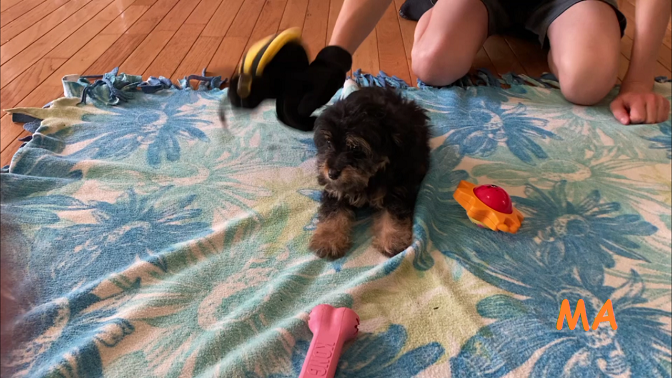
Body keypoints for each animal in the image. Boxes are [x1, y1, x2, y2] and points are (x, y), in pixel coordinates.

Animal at [310, 86, 430, 260]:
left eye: (355, 149)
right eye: (328, 143)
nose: (331, 173)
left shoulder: (397, 187)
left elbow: (394, 211)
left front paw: (393, 239)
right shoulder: (335, 187)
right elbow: (332, 210)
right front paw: (328, 239)